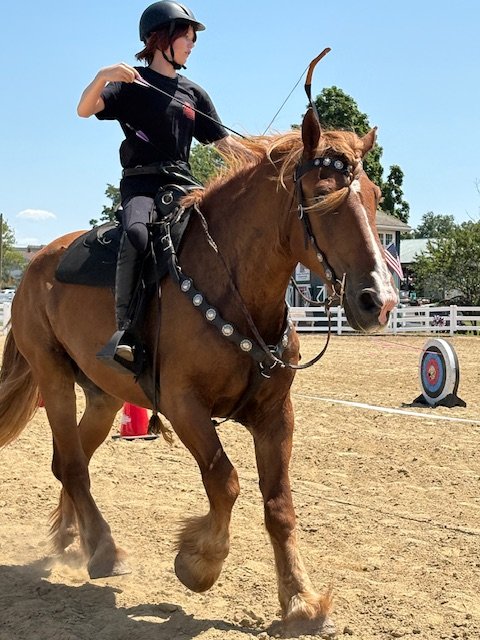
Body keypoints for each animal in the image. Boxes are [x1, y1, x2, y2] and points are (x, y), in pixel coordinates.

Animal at [0, 107, 397, 636]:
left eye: (373, 197)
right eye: (321, 193)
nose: (379, 301)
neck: (233, 288)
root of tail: (34, 268)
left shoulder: (276, 415)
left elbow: (280, 506)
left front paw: (301, 602)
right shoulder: (184, 405)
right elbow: (224, 481)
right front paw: (198, 563)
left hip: (103, 397)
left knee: (66, 461)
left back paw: (71, 539)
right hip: (54, 379)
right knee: (75, 465)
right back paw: (103, 550)